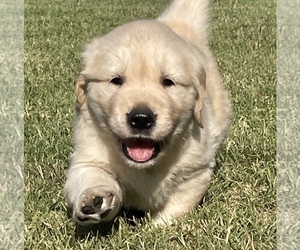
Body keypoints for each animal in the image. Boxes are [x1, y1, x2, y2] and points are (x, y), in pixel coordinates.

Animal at [64, 0, 231, 226]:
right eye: (116, 80)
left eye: (168, 82)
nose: (141, 119)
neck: (146, 167)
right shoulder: (87, 156)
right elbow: (92, 175)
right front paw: (94, 199)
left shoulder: (196, 172)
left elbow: (176, 207)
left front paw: (158, 228)